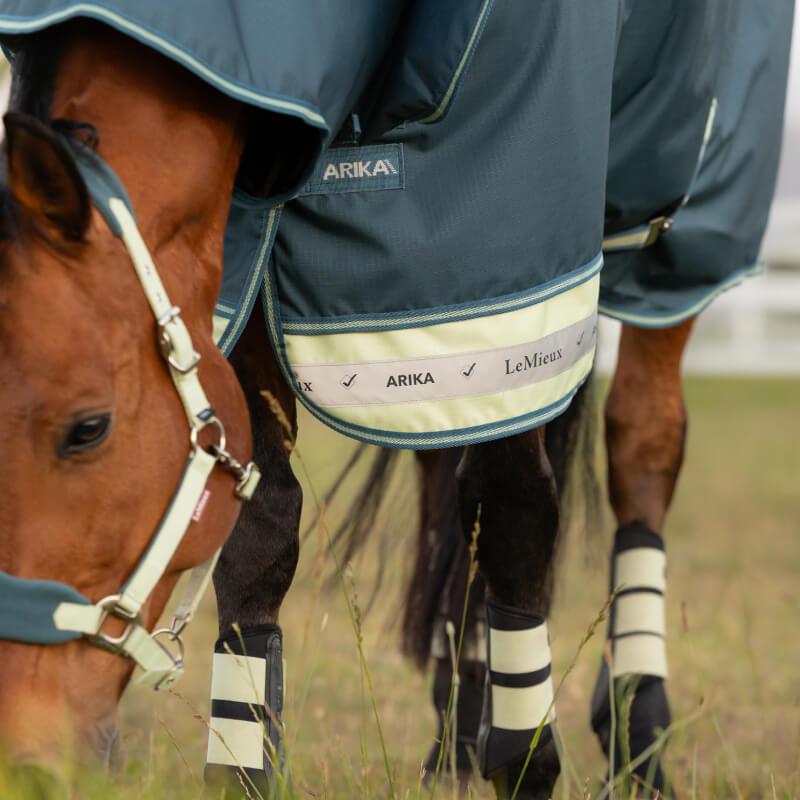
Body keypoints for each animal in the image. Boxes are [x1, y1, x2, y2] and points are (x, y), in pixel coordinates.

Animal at [0, 2, 793, 799]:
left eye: (87, 428)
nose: (24, 761)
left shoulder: (506, 265)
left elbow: (514, 507)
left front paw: (529, 760)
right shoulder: (255, 271)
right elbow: (263, 534)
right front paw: (245, 764)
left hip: (680, 232)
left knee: (642, 447)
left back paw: (640, 737)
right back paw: (459, 737)